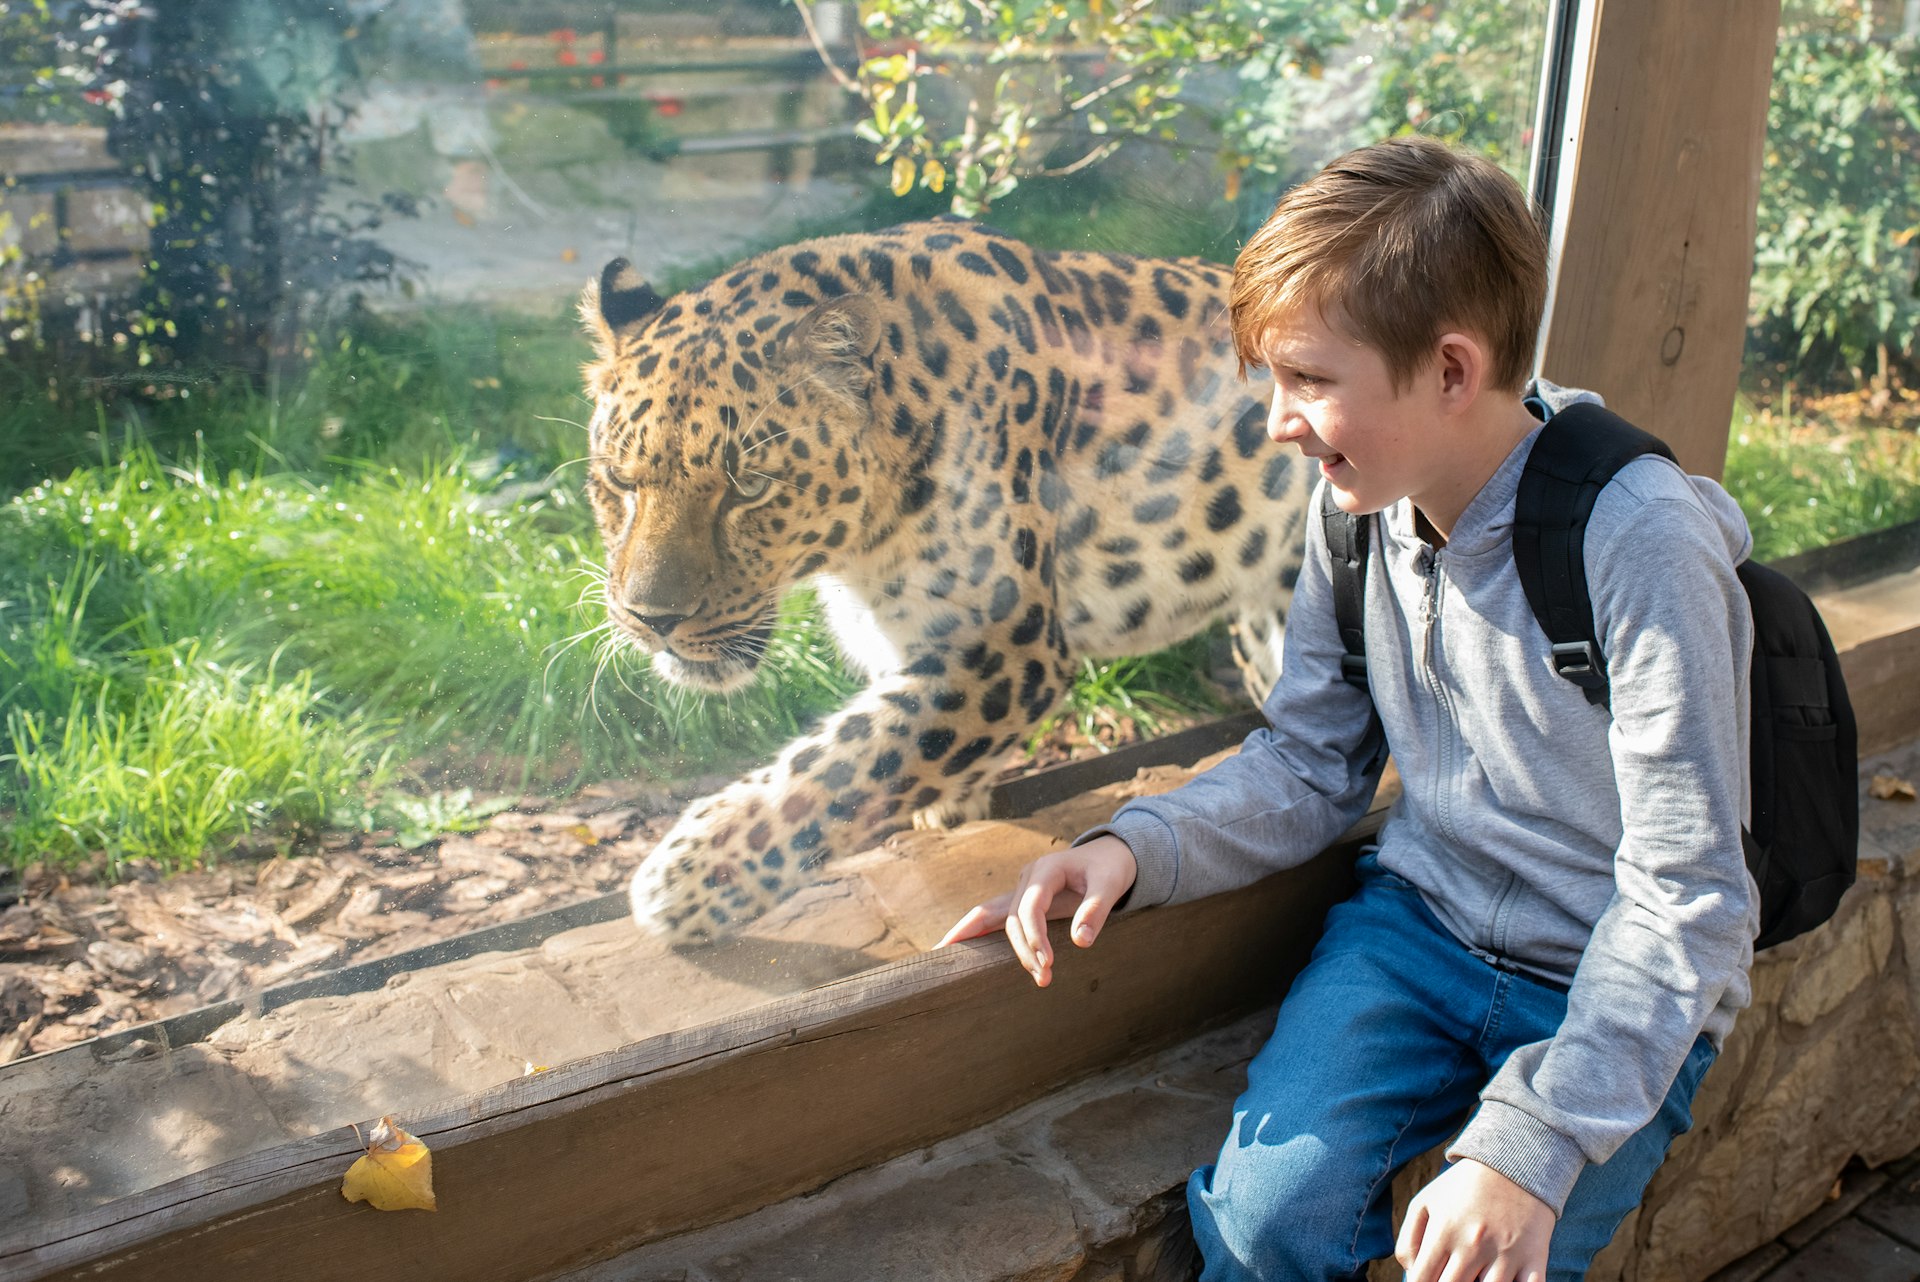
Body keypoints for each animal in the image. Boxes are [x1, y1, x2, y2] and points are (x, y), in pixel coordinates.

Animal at [576, 217, 1313, 940]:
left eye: (750, 488)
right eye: (618, 480)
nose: (651, 618)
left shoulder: (1007, 646)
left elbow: (848, 763)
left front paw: (689, 875)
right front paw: (951, 805)